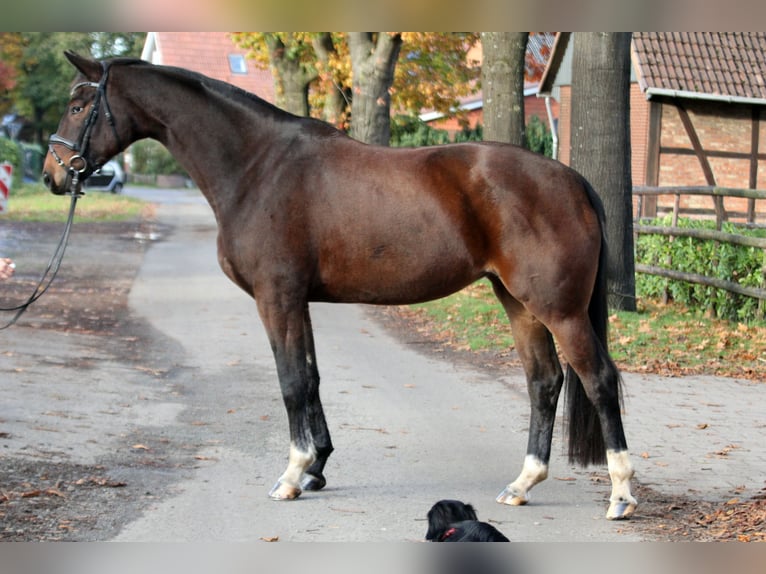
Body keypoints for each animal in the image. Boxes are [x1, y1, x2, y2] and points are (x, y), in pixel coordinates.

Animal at [45, 53, 640, 520]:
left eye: (79, 105)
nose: (54, 174)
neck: (257, 166)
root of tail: (570, 178)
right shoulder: (296, 300)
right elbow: (310, 378)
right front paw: (316, 469)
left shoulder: (276, 298)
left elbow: (291, 383)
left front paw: (292, 476)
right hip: (516, 302)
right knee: (544, 382)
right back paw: (523, 484)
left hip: (559, 310)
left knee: (598, 380)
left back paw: (620, 495)